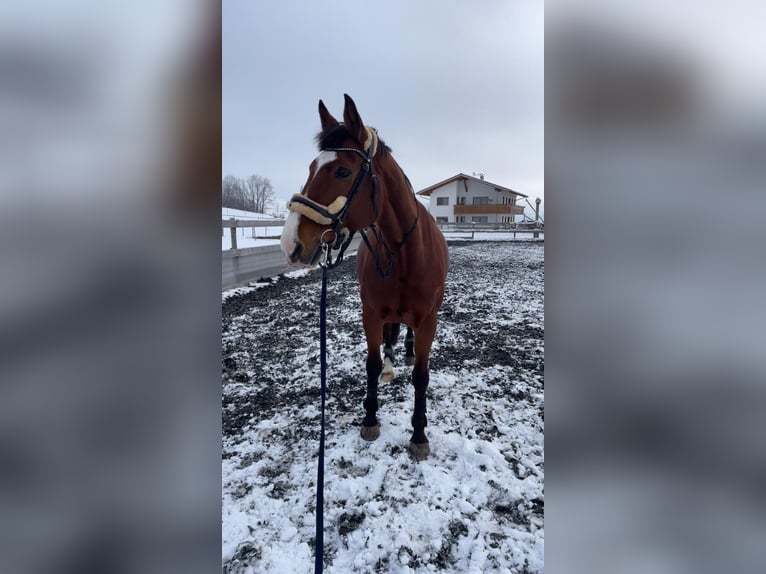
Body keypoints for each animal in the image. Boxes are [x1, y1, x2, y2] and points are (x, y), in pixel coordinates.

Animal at [282, 94, 450, 464]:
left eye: (343, 171)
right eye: (311, 168)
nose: (290, 243)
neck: (404, 254)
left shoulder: (428, 320)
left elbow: (421, 376)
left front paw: (418, 435)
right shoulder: (371, 314)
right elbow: (371, 365)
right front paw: (371, 417)